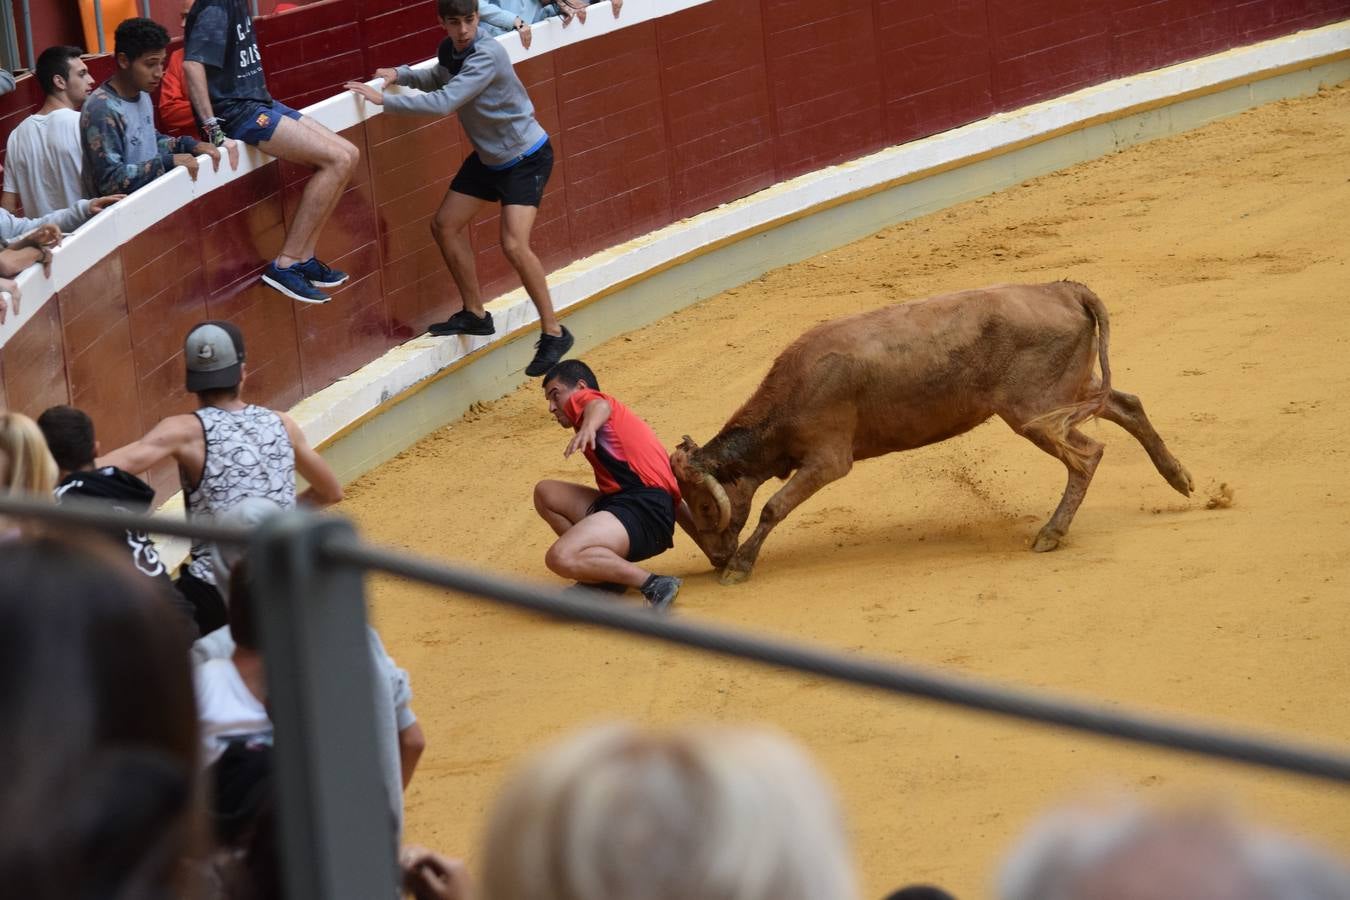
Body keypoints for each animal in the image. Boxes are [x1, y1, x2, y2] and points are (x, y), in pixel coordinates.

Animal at [672, 284, 1193, 588]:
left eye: (705, 508)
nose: (716, 558)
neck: (790, 395)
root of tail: (1065, 289)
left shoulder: (827, 460)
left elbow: (773, 506)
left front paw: (741, 566)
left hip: (1036, 411)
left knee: (1088, 455)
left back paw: (1051, 533)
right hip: (1073, 393)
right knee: (1127, 406)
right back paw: (1179, 479)